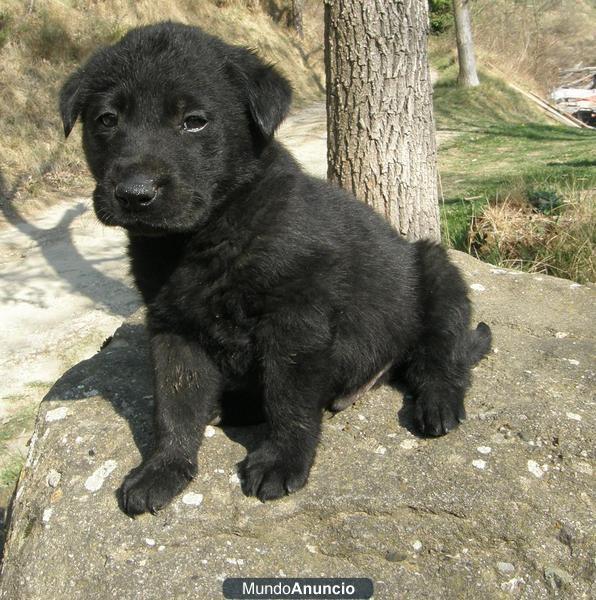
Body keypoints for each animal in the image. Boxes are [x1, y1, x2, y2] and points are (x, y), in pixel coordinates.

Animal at [60, 21, 492, 512]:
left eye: (194, 121)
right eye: (106, 120)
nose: (135, 194)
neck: (210, 235)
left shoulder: (295, 321)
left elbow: (289, 398)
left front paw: (283, 461)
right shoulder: (173, 325)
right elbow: (173, 403)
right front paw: (163, 469)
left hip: (437, 275)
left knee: (441, 354)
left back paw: (438, 401)